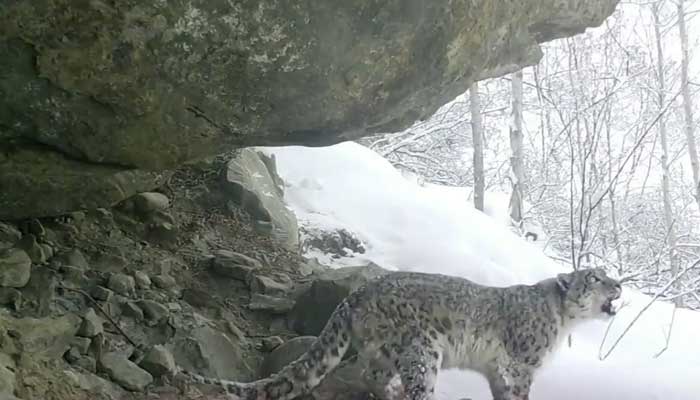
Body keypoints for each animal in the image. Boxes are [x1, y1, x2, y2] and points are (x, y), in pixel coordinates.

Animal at [182, 268, 624, 398]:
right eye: (595, 277)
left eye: (608, 275)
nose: (620, 285)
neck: (564, 323)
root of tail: (357, 293)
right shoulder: (521, 366)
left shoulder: (500, 371)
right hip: (423, 349)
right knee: (407, 384)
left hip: (388, 350)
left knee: (370, 374)